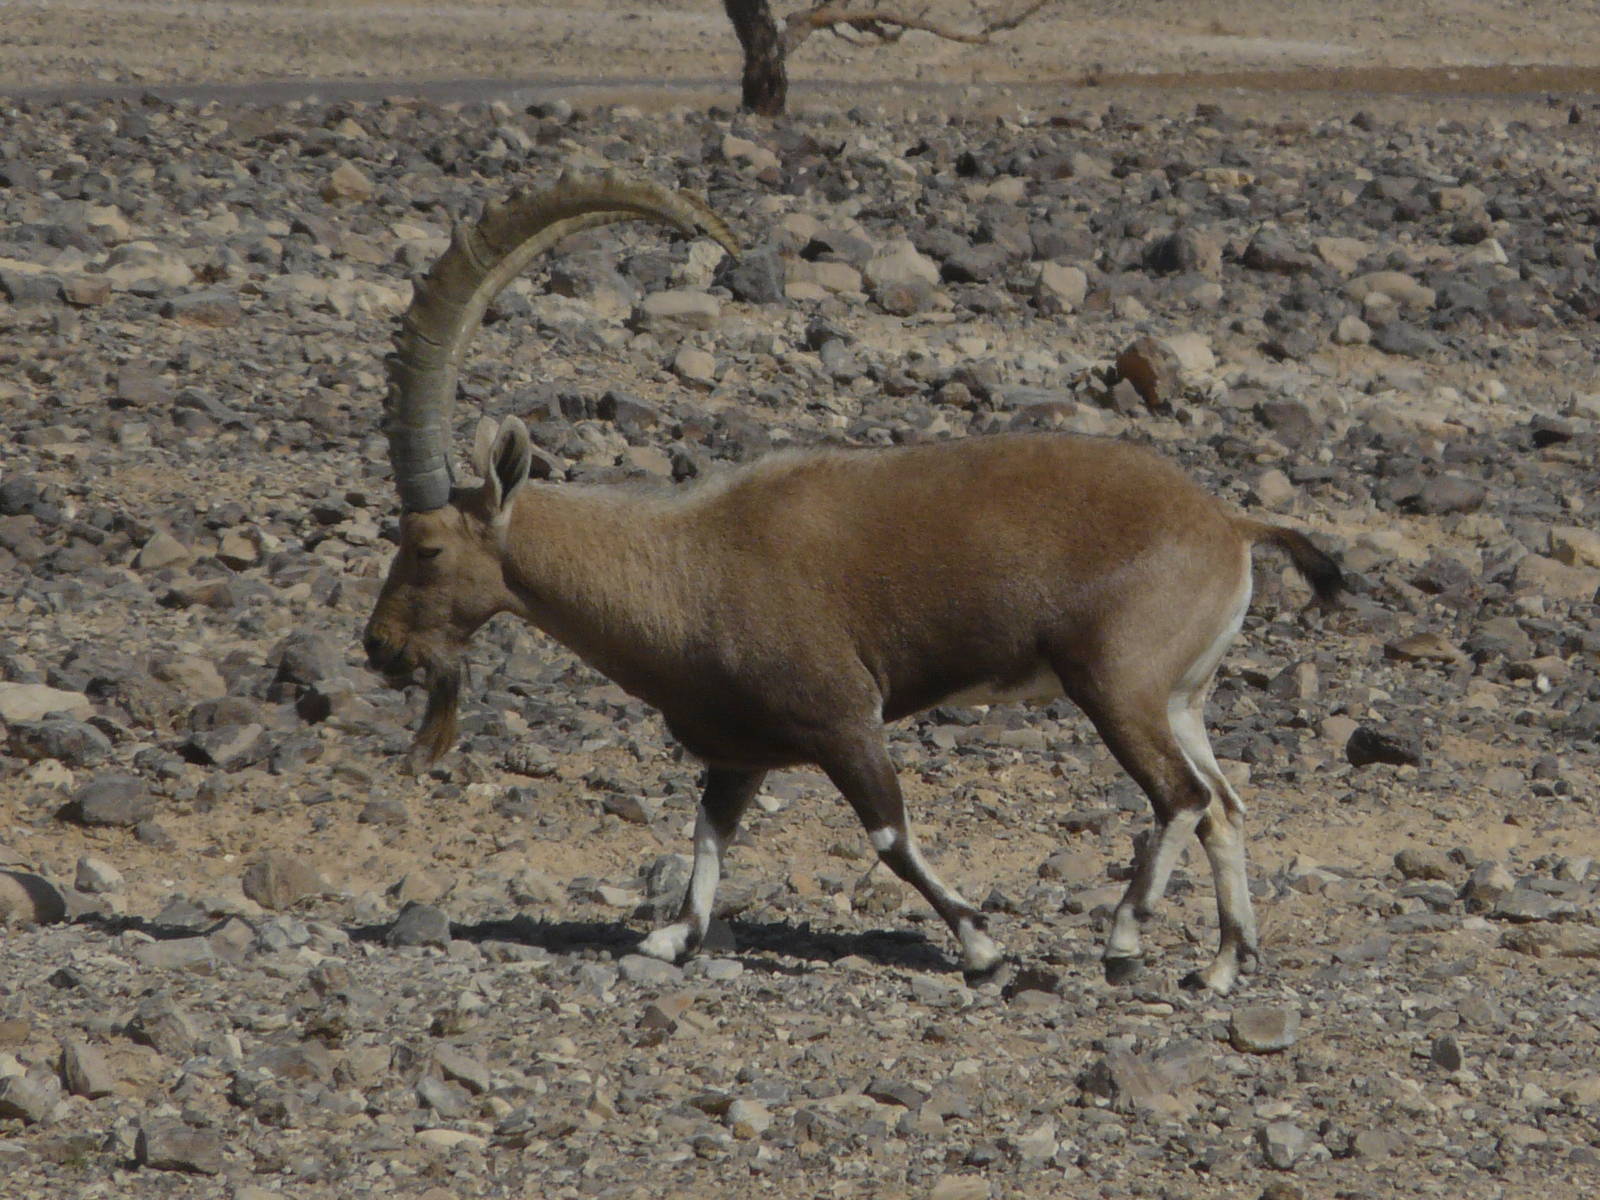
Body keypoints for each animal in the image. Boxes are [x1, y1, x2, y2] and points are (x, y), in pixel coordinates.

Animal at [363, 173, 1343, 993]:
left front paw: (982, 945)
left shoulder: (841, 717)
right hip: (1180, 697)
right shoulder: (740, 749)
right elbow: (709, 833)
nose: (379, 647)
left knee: (1180, 797)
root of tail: (1230, 527)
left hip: (1114, 682)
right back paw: (1221, 966)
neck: (685, 563)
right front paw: (669, 937)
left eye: (425, 547)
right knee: (1224, 805)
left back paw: (1126, 939)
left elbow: (888, 834)